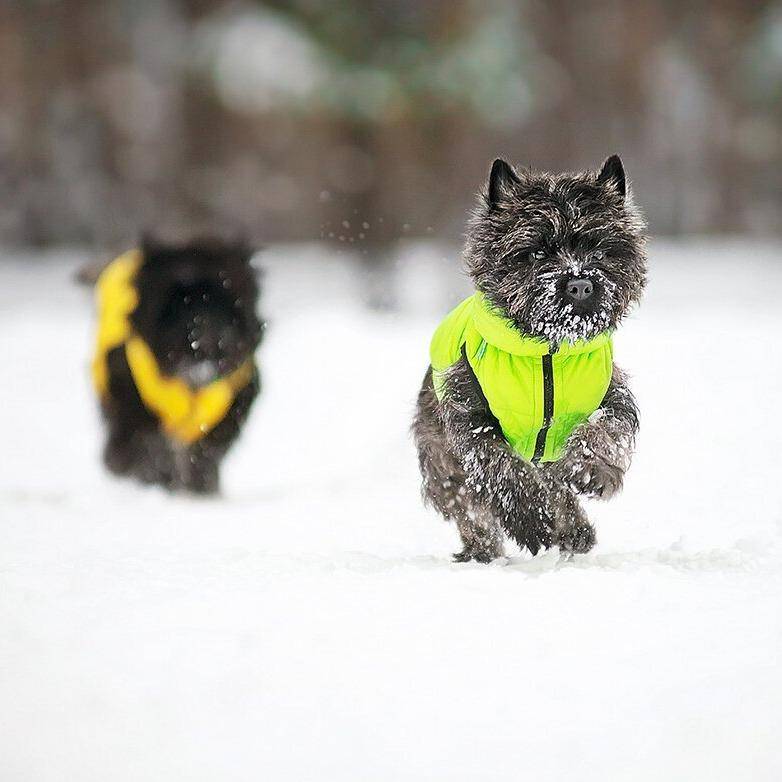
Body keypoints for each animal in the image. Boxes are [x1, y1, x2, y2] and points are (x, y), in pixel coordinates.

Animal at [92, 239, 264, 494]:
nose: (208, 337)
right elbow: (145, 441)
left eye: (231, 299)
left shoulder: (236, 398)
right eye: (177, 303)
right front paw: (155, 475)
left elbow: (208, 448)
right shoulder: (130, 391)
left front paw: (199, 485)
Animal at [414, 158, 648, 564]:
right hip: (440, 457)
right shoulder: (472, 420)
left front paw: (590, 470)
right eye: (537, 252)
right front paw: (532, 521)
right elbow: (502, 468)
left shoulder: (611, 397)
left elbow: (603, 431)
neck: (547, 352)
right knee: (470, 505)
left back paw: (575, 530)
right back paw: (486, 549)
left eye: (600, 250)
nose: (580, 285)